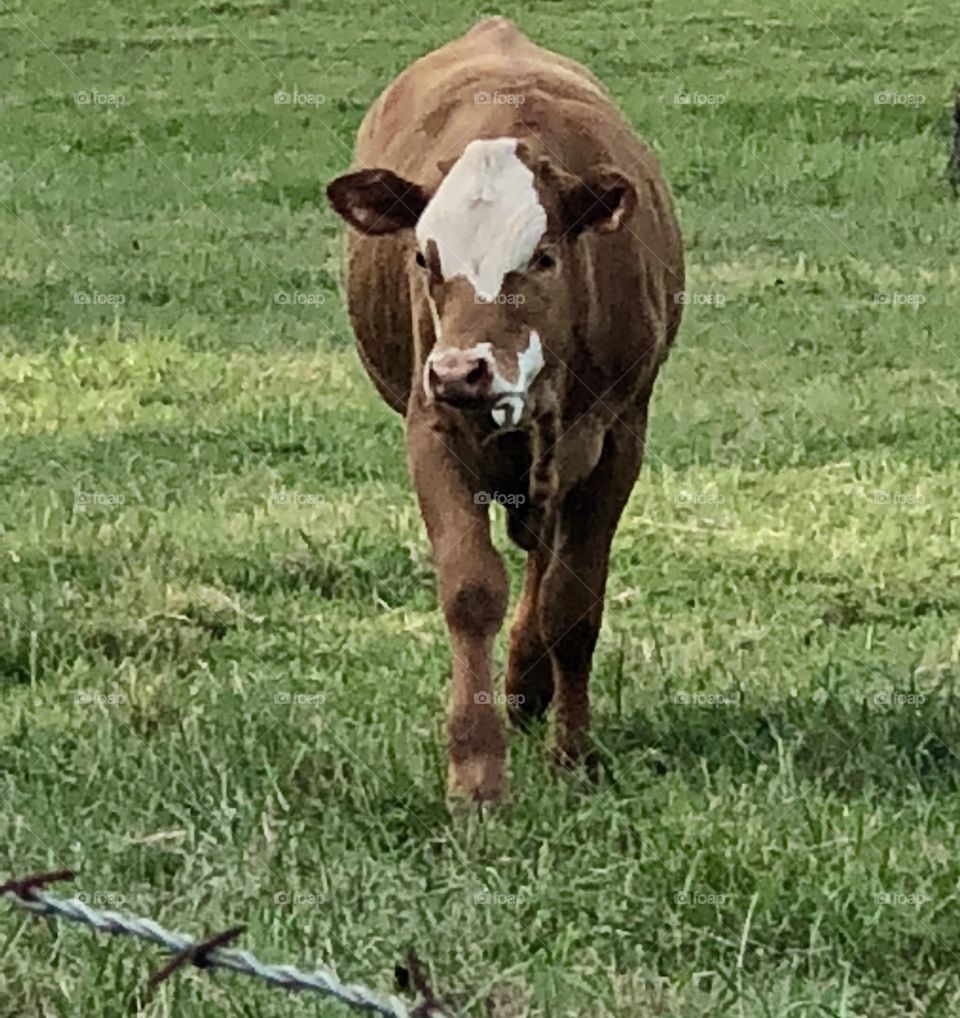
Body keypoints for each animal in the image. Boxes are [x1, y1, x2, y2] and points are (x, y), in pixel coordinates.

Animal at [327, 15, 684, 806]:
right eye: (424, 258)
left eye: (544, 256)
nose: (462, 370)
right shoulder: (431, 427)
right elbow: (471, 591)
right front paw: (475, 775)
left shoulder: (620, 438)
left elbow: (574, 604)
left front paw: (572, 759)